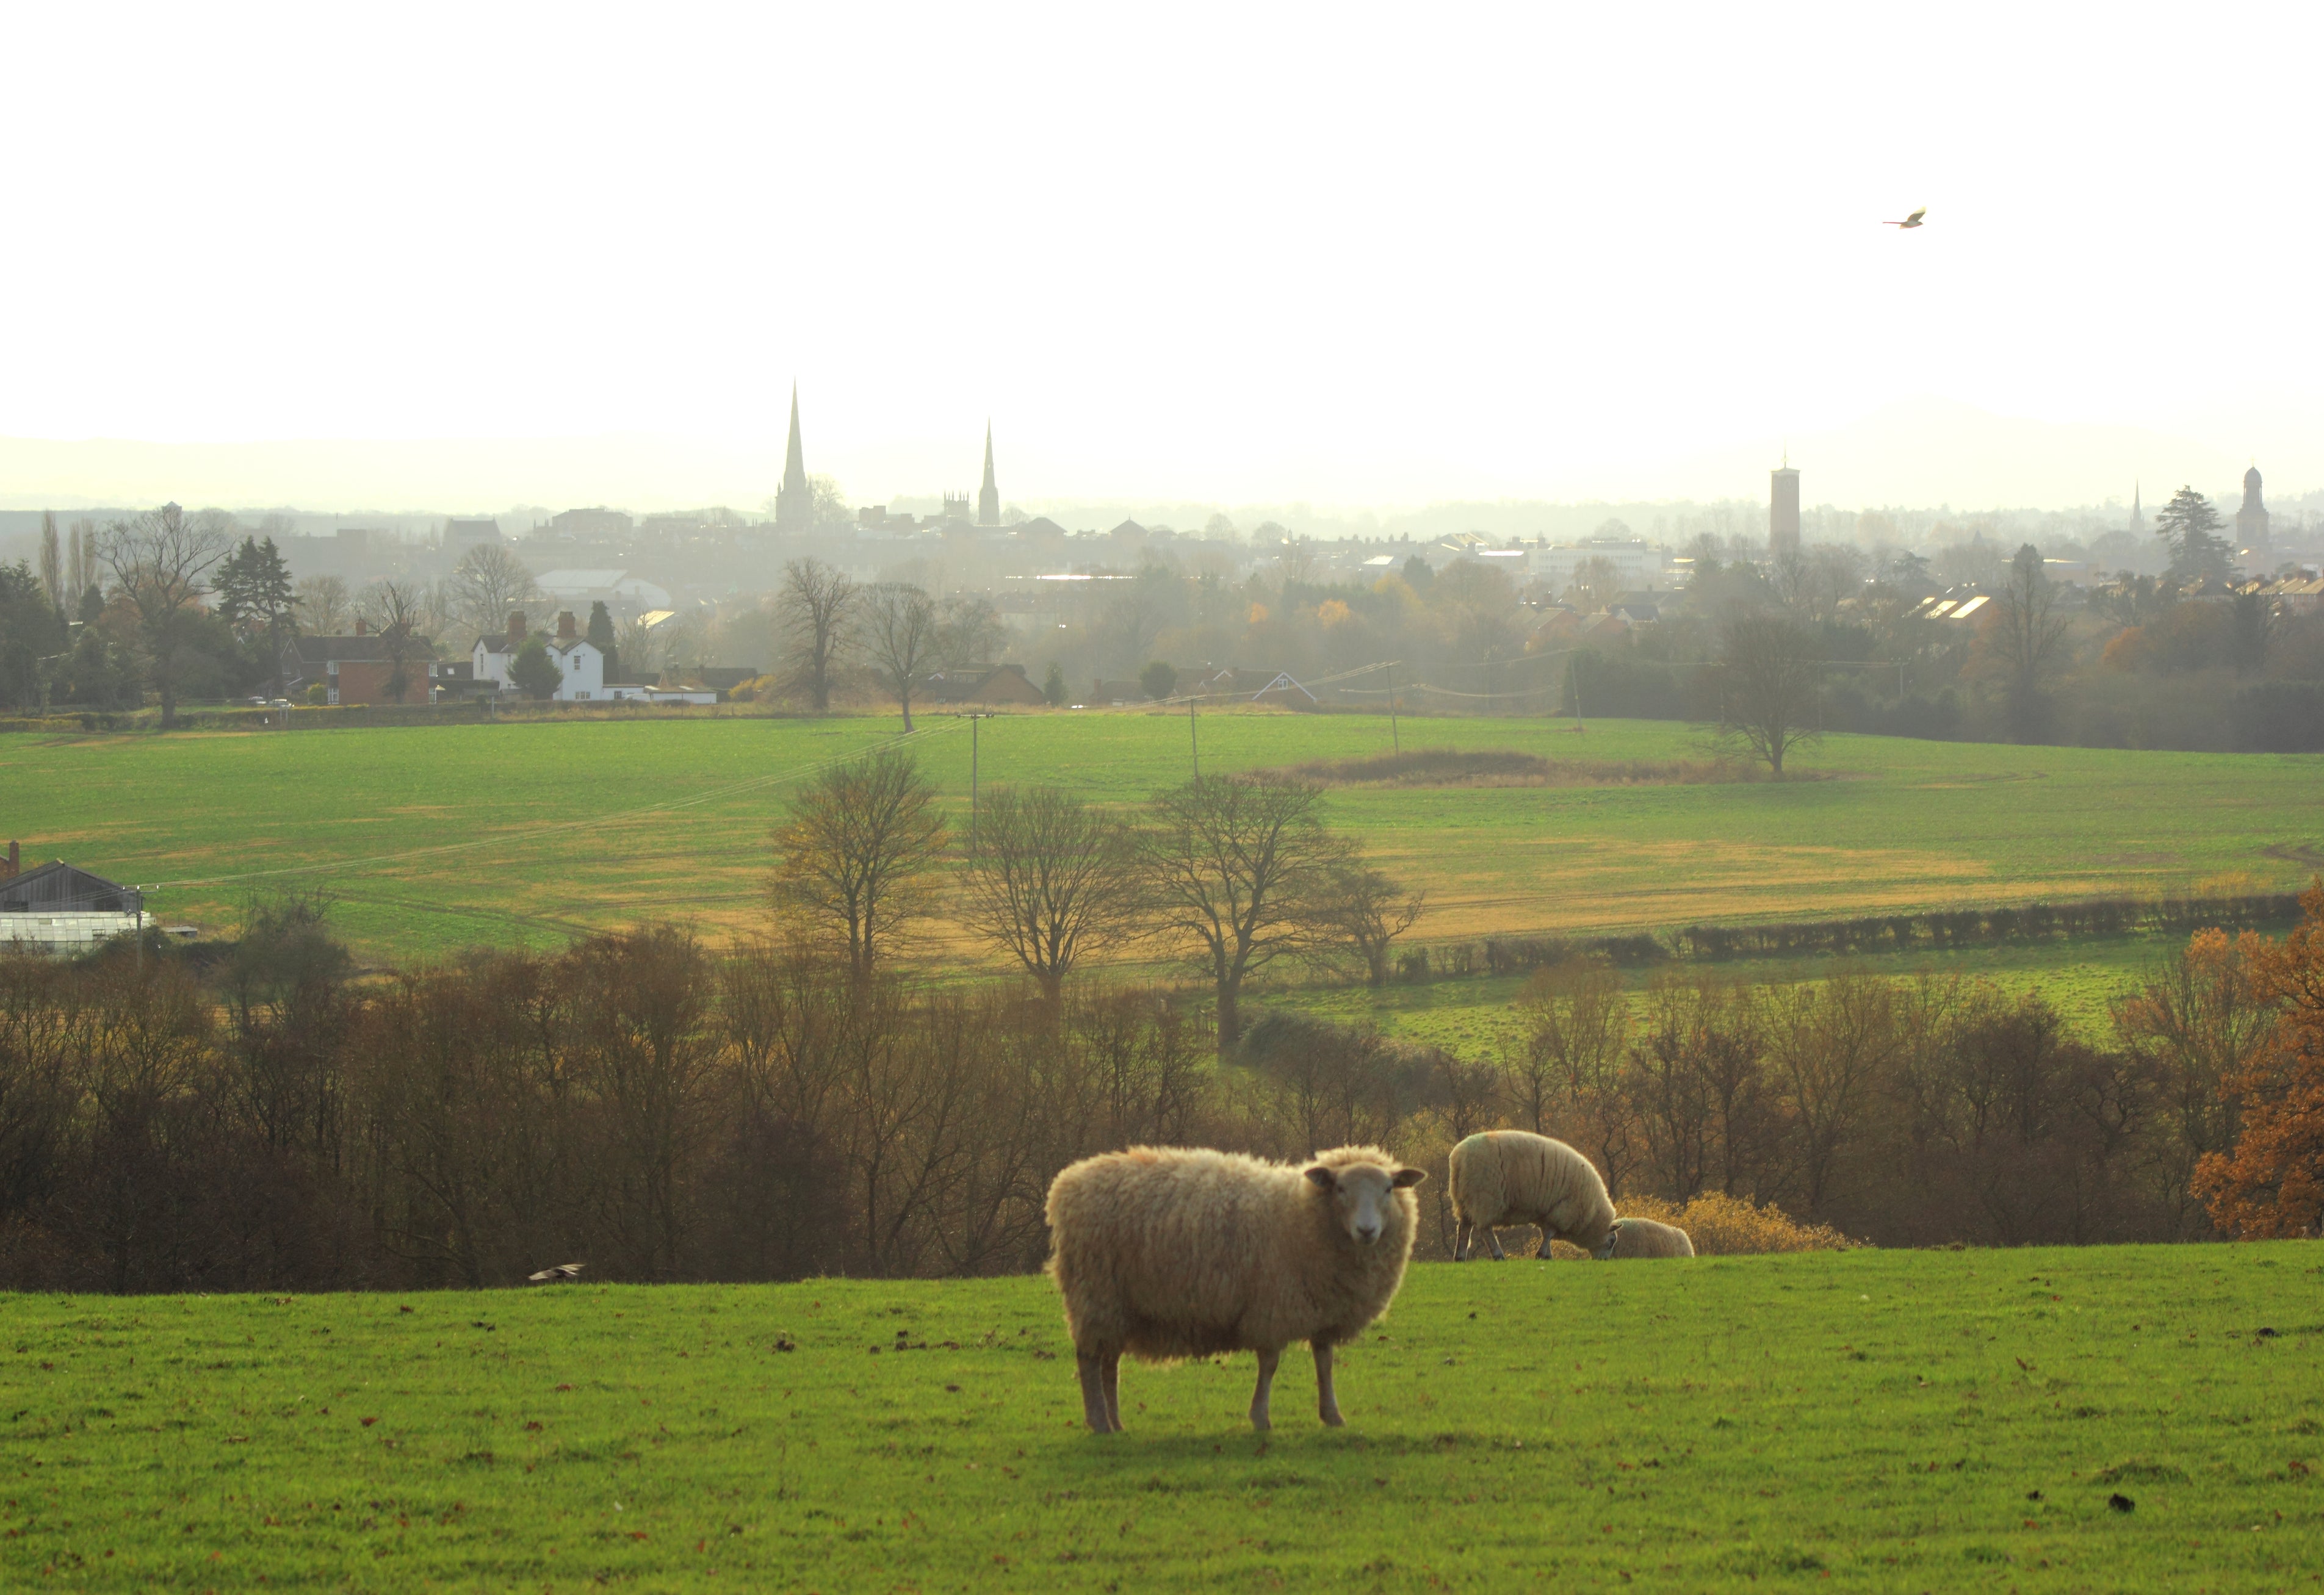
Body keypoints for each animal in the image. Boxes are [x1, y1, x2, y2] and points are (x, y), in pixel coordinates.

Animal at [1045, 1148, 1422, 1441]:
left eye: (1389, 1188)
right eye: (1341, 1188)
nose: (1367, 1230)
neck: (1303, 1214)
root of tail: (1066, 1185)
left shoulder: (1323, 1309)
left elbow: (1325, 1363)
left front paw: (1332, 1416)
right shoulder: (1273, 1304)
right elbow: (1270, 1364)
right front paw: (1261, 1418)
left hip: (1118, 1305)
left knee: (1110, 1363)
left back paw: (1116, 1423)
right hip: (1095, 1294)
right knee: (1089, 1359)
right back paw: (1099, 1423)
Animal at [1450, 1129, 1617, 1264]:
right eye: (1611, 1242)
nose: (1603, 1261)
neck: (1593, 1213)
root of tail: (1458, 1158)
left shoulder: (1548, 1214)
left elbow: (1547, 1234)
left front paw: (1547, 1255)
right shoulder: (1563, 1210)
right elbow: (1549, 1234)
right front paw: (1542, 1255)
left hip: (1464, 1199)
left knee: (1464, 1228)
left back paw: (1460, 1257)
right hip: (1485, 1197)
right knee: (1485, 1229)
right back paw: (1498, 1255)